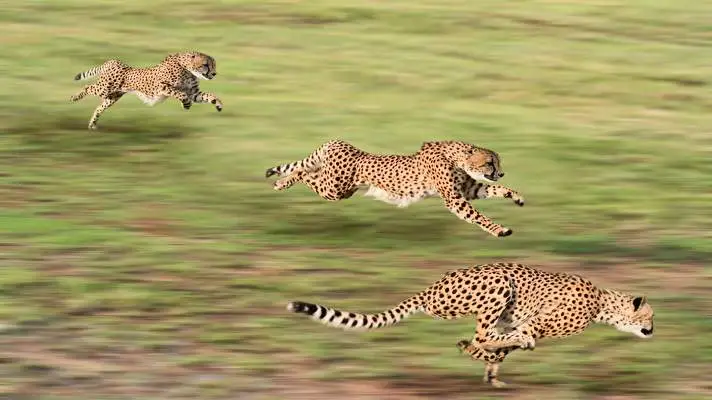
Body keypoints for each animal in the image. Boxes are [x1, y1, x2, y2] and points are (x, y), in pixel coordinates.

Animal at [70, 51, 223, 130]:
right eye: (206, 65)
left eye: (214, 65)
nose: (214, 74)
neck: (187, 68)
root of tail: (113, 61)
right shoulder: (162, 86)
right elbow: (180, 93)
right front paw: (186, 104)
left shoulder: (194, 93)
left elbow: (209, 95)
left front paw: (219, 104)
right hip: (104, 88)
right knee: (87, 87)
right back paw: (74, 98)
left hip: (112, 97)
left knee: (99, 108)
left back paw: (92, 124)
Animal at [265, 140, 524, 238]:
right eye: (490, 162)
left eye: (497, 162)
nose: (500, 172)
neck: (458, 156)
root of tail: (337, 142)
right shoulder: (454, 198)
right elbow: (478, 216)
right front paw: (499, 229)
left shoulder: (468, 190)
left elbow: (495, 189)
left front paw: (517, 196)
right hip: (334, 188)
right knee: (304, 173)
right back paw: (281, 182)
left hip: (338, 187)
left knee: (307, 171)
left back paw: (280, 181)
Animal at [287, 262, 654, 388]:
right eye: (650, 317)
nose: (653, 330)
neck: (603, 302)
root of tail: (432, 286)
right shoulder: (535, 323)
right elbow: (513, 339)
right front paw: (488, 361)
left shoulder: (518, 324)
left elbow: (505, 345)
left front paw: (491, 371)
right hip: (499, 285)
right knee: (481, 334)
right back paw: (472, 347)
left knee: (484, 337)